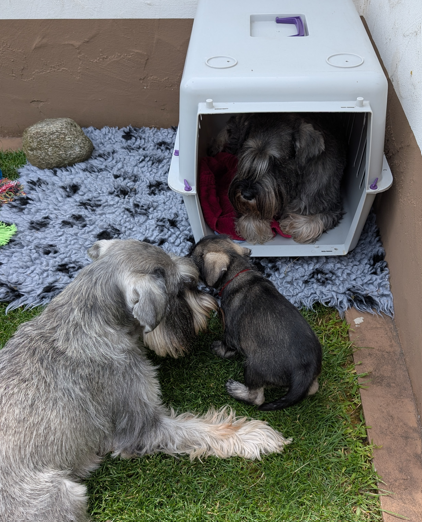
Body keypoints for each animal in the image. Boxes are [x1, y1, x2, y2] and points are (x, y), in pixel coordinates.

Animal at [0, 239, 291, 522]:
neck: (91, 321)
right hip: (60, 495)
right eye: (178, 291)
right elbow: (198, 430)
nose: (210, 307)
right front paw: (254, 435)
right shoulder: (139, 424)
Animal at [190, 235, 322, 411]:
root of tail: (303, 372)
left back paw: (235, 389)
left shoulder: (230, 333)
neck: (238, 273)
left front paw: (218, 349)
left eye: (194, 260)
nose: (185, 256)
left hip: (253, 368)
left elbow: (226, 345)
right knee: (313, 389)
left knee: (257, 398)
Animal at [209, 112, 347, 244]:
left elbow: (309, 224)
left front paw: (288, 223)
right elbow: (249, 220)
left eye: (275, 163)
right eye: (246, 155)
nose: (246, 194)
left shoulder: (332, 208)